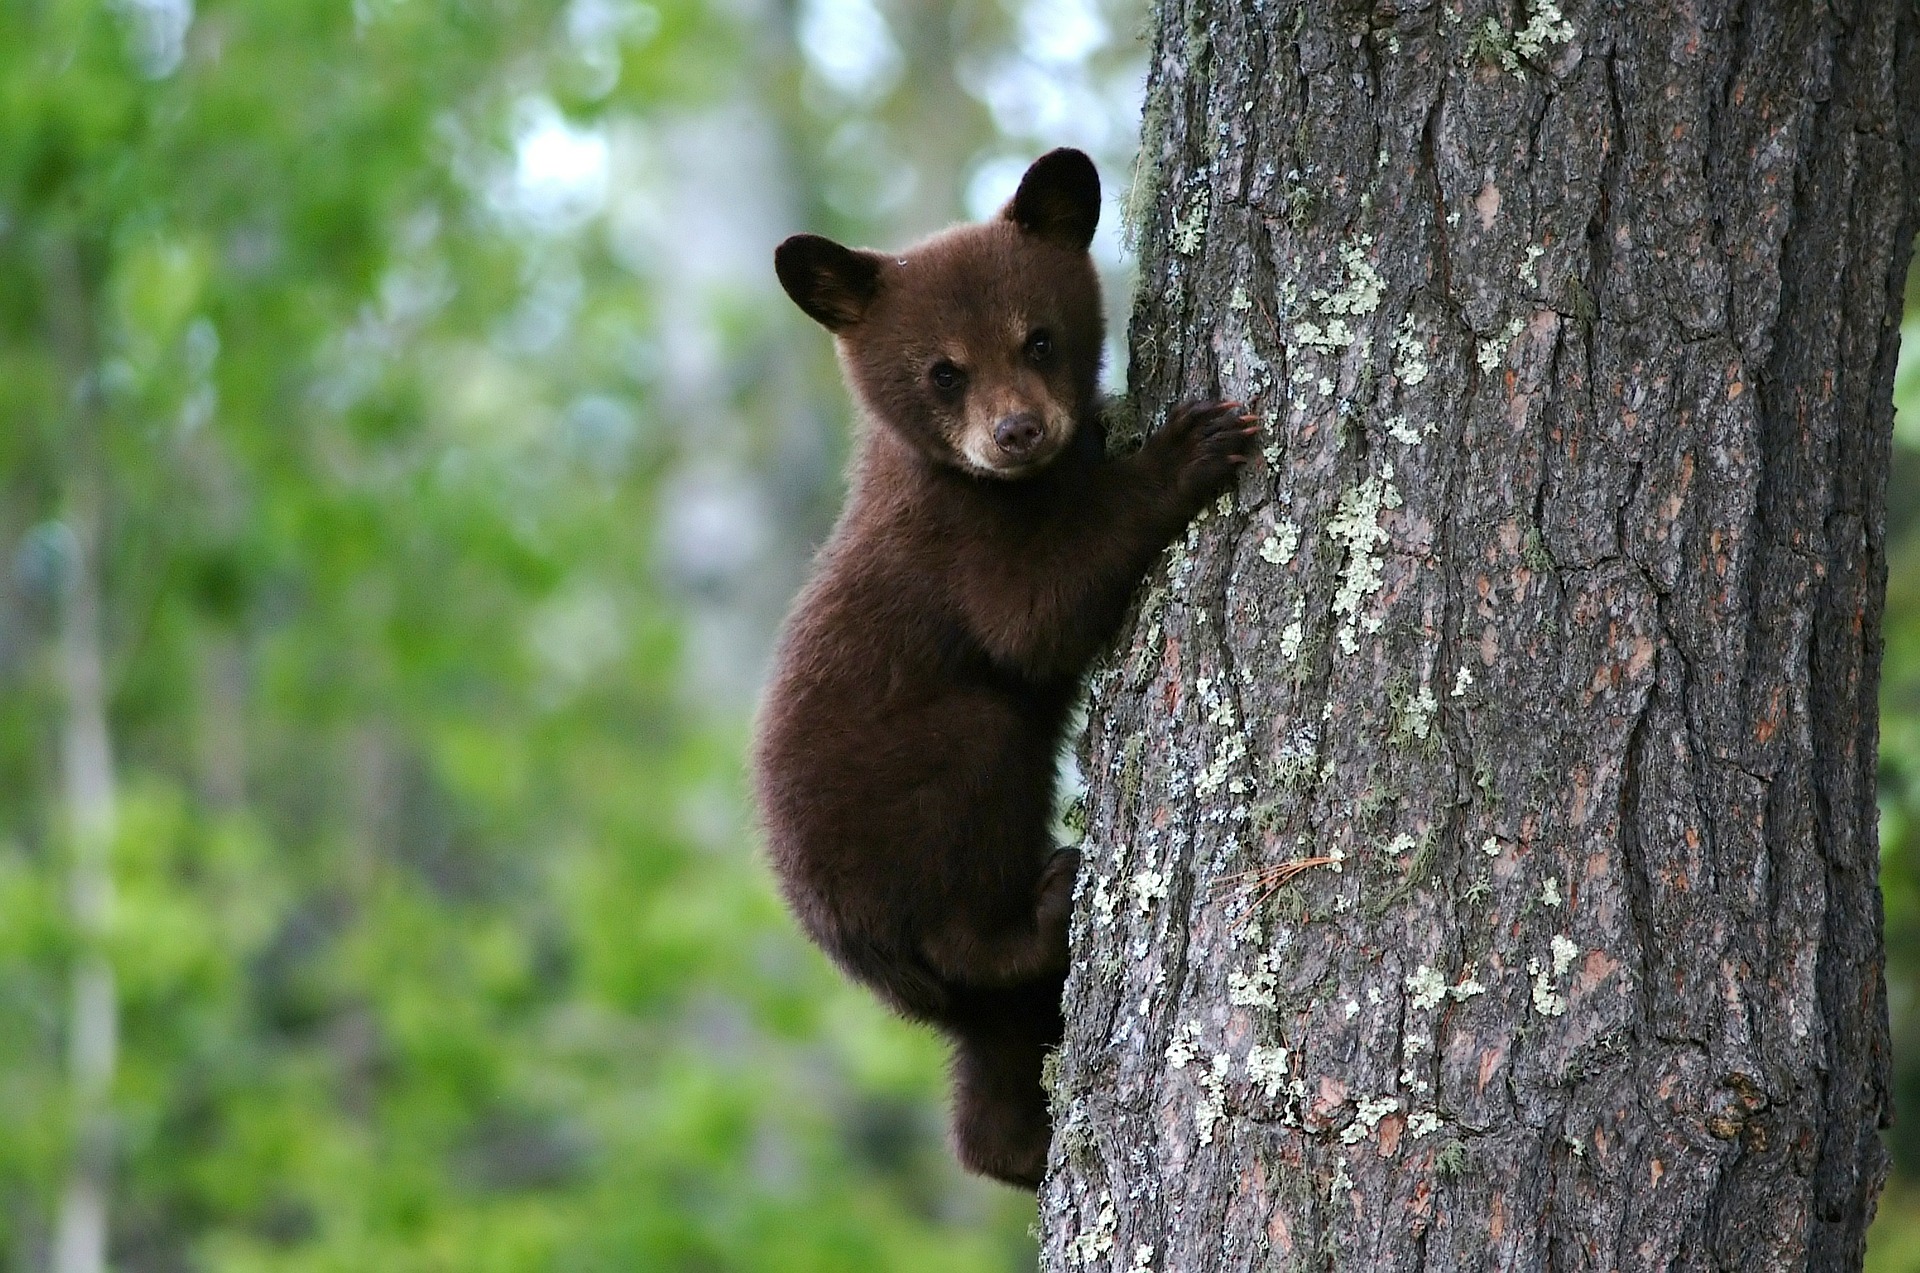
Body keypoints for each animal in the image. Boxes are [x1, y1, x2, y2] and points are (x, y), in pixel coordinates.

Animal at [753, 147, 1259, 1189]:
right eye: (943, 371)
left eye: (1039, 339)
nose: (1018, 432)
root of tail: (853, 950)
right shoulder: (956, 544)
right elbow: (1036, 617)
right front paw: (1187, 448)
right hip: (916, 800)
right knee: (970, 860)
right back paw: (1047, 899)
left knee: (991, 1064)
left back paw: (1018, 1145)